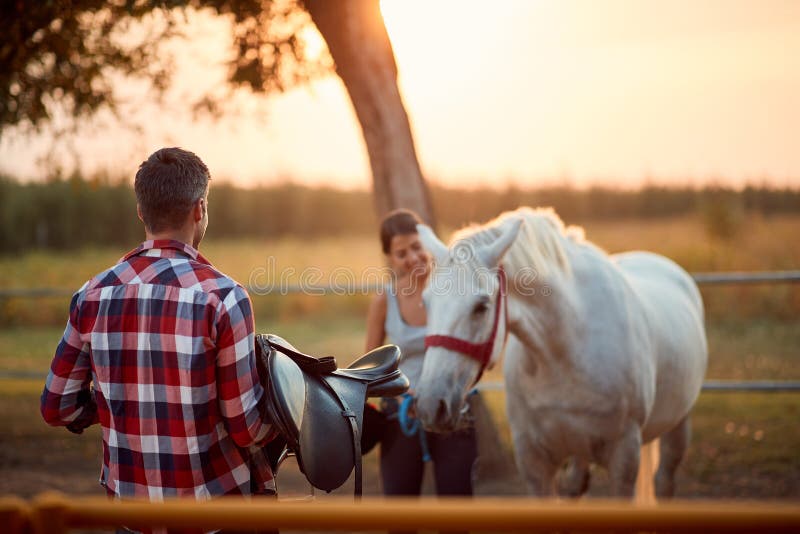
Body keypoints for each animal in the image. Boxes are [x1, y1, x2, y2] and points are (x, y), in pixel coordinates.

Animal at [412, 208, 708, 498]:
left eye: (481, 307)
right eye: (425, 302)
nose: (431, 405)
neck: (564, 350)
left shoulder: (624, 455)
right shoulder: (532, 460)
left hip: (678, 425)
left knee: (664, 481)